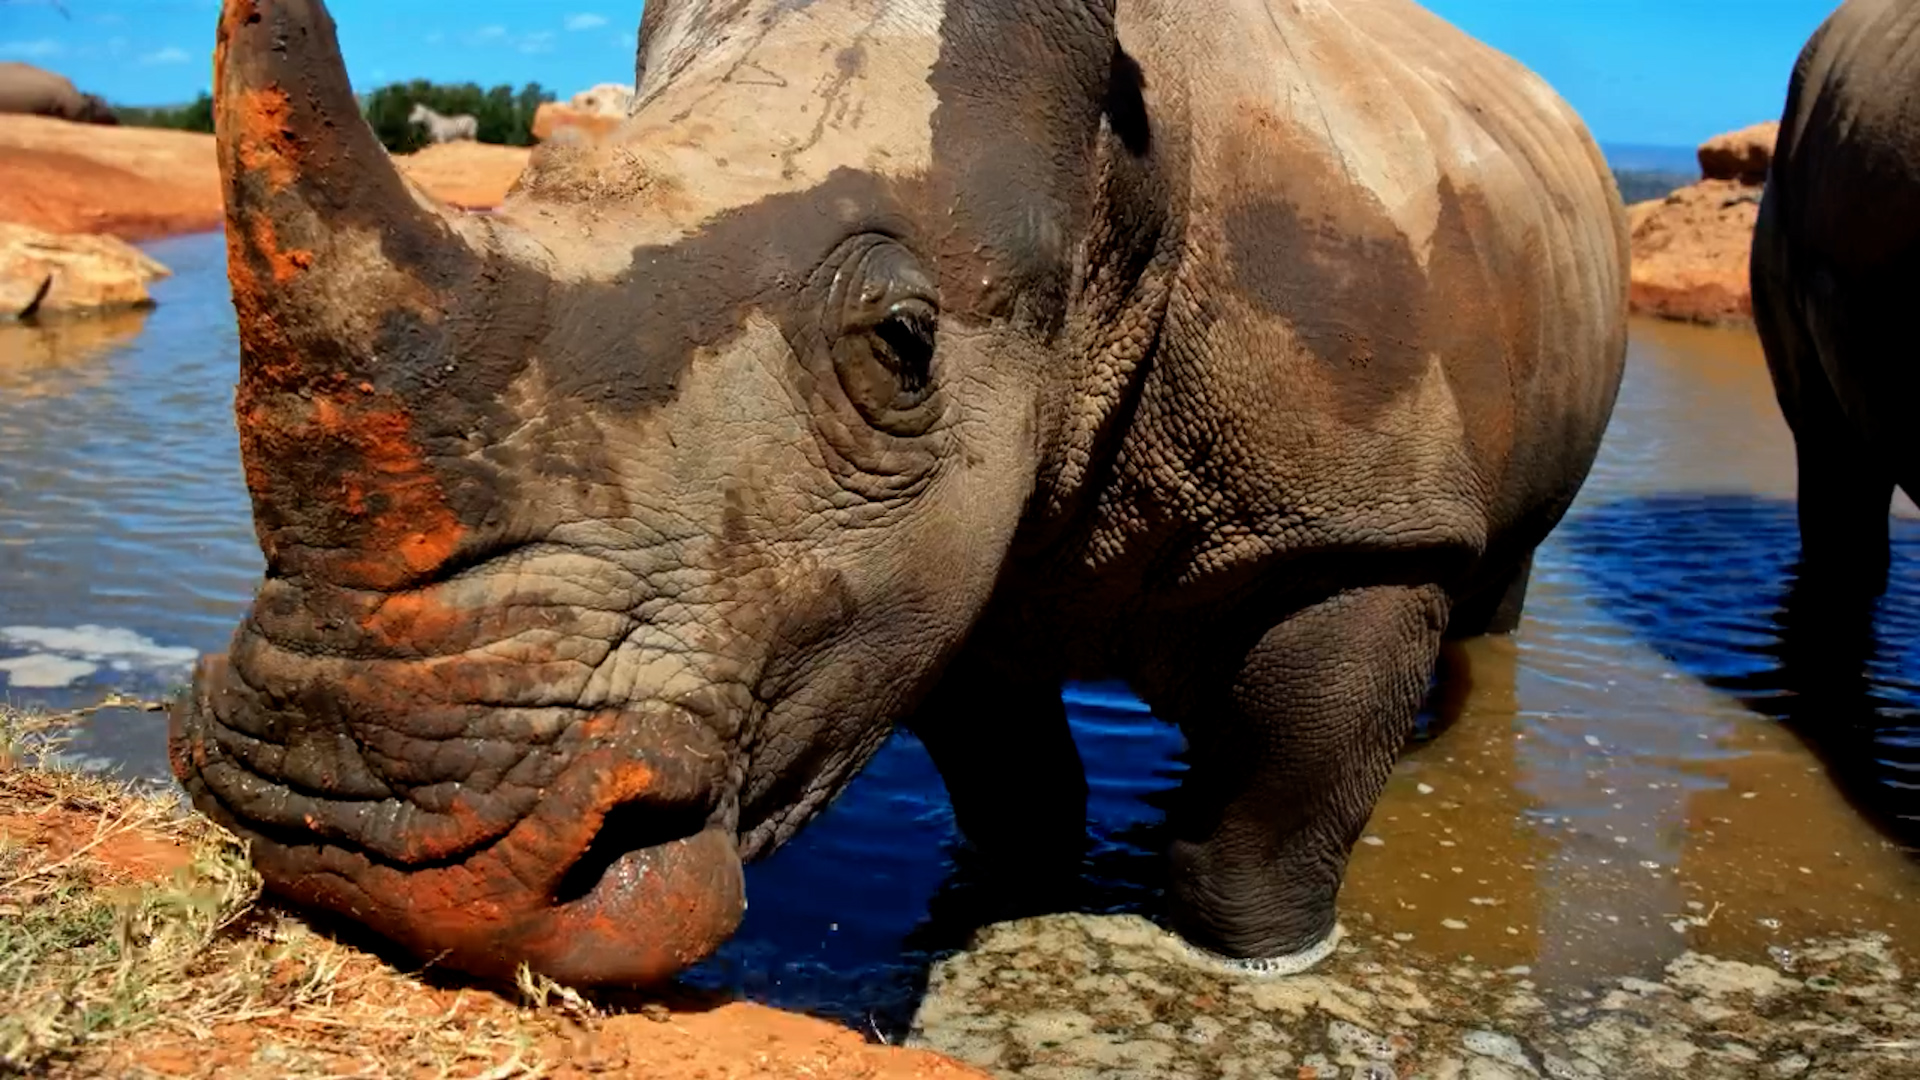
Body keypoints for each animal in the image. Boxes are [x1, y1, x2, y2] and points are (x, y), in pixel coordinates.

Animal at [171, 0, 1627, 986]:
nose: (340, 832)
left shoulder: (1358, 528)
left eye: (906, 342)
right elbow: (1009, 777)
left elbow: (1267, 822)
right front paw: (1002, 896)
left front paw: (1259, 967)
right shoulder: (926, 574)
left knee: (1494, 586)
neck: (1112, 185)